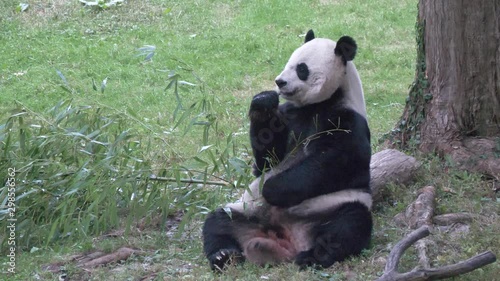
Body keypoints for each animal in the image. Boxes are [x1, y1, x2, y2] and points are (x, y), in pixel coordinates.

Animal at [202, 29, 372, 270]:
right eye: (288, 62)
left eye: (302, 69)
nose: (279, 82)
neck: (318, 104)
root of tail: (286, 238)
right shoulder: (290, 114)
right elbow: (266, 160)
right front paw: (263, 102)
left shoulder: (348, 120)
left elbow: (334, 162)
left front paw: (272, 189)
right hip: (246, 211)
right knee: (218, 221)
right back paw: (223, 255)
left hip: (334, 205)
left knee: (348, 225)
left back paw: (312, 256)